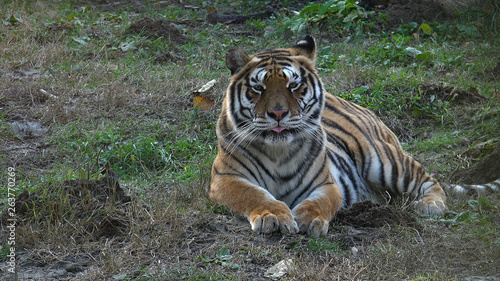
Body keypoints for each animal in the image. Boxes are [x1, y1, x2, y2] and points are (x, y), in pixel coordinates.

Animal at [208, 35, 500, 236]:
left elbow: (321, 202)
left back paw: (431, 205)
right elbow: (254, 195)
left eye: (294, 85)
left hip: (385, 160)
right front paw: (274, 215)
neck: (278, 150)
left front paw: (309, 219)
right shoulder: (227, 179)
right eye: (259, 88)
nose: (278, 113)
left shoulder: (326, 183)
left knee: (429, 180)